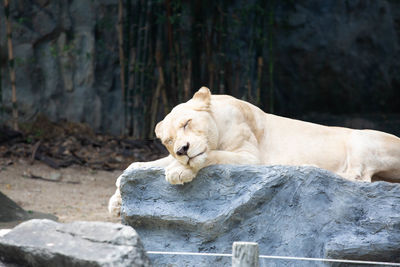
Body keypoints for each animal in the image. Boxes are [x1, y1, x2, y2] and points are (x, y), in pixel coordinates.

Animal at [108, 87, 400, 217]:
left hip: (363, 138)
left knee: (360, 178)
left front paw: (179, 172)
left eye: (187, 123)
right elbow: (140, 165)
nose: (182, 149)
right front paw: (117, 201)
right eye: (169, 139)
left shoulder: (251, 158)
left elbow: (210, 156)